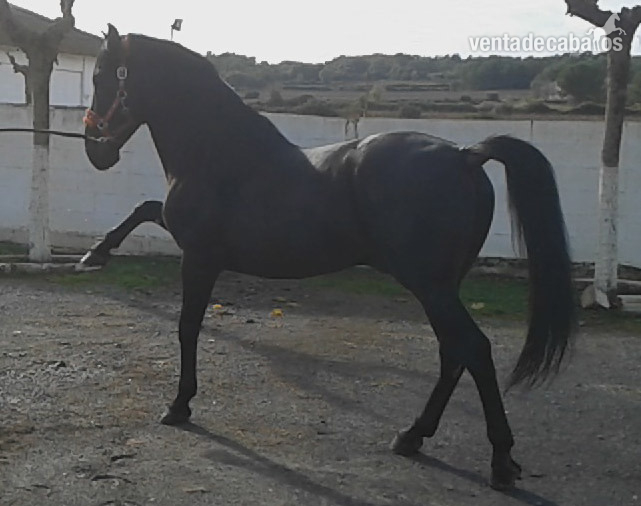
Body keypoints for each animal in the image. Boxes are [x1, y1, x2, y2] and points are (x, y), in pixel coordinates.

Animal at [83, 25, 576, 491]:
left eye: (102, 76)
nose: (95, 149)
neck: (219, 152)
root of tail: (464, 156)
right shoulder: (190, 241)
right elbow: (145, 209)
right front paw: (95, 254)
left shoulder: (200, 258)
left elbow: (187, 328)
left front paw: (179, 405)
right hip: (442, 287)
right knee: (454, 352)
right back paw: (412, 436)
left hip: (430, 286)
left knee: (473, 349)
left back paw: (500, 462)